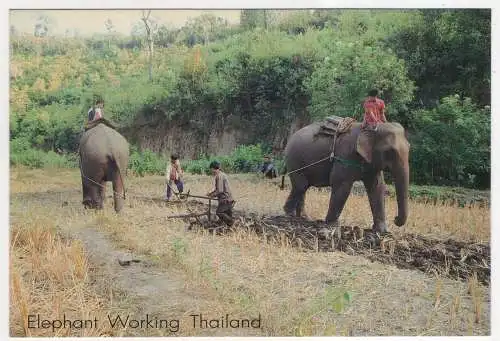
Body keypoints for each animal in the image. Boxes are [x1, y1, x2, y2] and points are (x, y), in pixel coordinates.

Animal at [282, 117, 410, 234]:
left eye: (409, 148)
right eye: (390, 152)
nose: (395, 219)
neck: (367, 129)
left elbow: (377, 187)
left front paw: (381, 231)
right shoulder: (345, 155)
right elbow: (341, 184)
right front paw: (332, 226)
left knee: (304, 187)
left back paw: (303, 218)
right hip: (295, 160)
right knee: (301, 186)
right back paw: (290, 215)